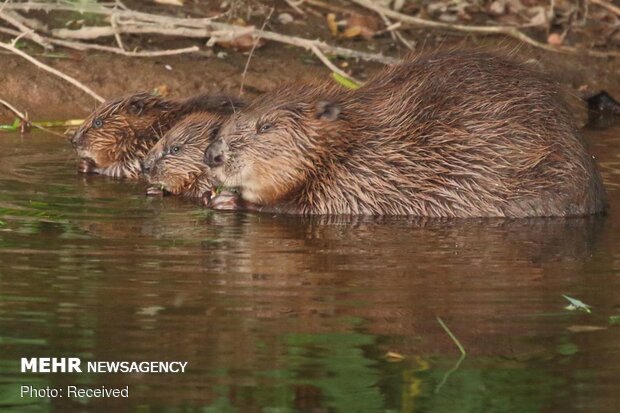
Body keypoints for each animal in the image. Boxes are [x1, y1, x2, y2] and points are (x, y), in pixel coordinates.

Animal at [203, 50, 604, 217]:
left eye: (266, 126)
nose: (213, 154)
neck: (356, 142)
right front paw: (213, 194)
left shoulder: (361, 181)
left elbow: (309, 206)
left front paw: (229, 201)